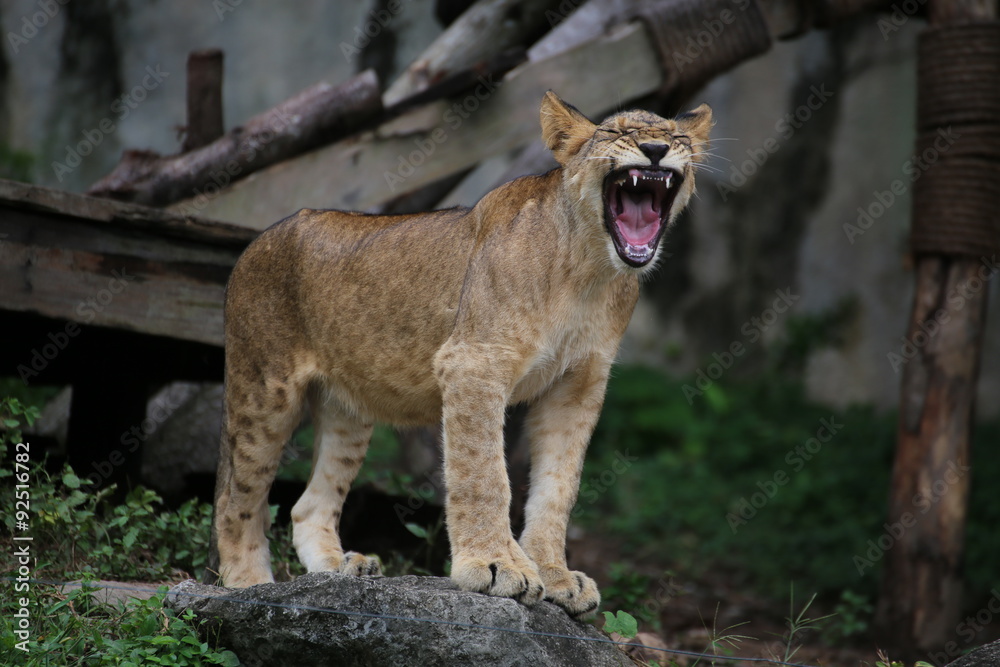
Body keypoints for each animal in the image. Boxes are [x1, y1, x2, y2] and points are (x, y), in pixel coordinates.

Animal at [210, 91, 712, 617]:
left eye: (676, 137)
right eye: (617, 133)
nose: (656, 149)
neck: (591, 270)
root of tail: (255, 241)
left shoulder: (577, 386)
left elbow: (557, 488)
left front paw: (554, 575)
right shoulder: (475, 364)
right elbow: (484, 474)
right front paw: (496, 567)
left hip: (347, 410)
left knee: (308, 504)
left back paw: (340, 570)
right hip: (262, 391)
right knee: (234, 499)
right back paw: (247, 586)